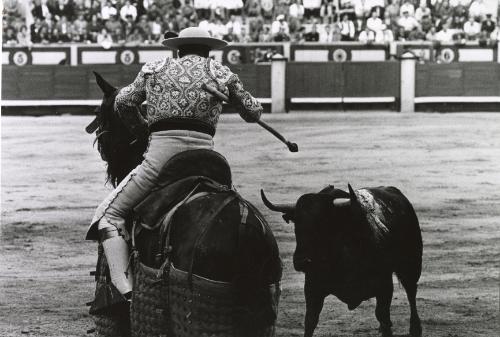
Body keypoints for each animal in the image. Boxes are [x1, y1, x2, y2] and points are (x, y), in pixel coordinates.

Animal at [262, 185, 422, 334]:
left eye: (324, 222)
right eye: (297, 223)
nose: (302, 261)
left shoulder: (384, 287)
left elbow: (383, 317)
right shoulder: (313, 289)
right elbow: (310, 320)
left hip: (411, 266)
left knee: (411, 293)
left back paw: (415, 328)